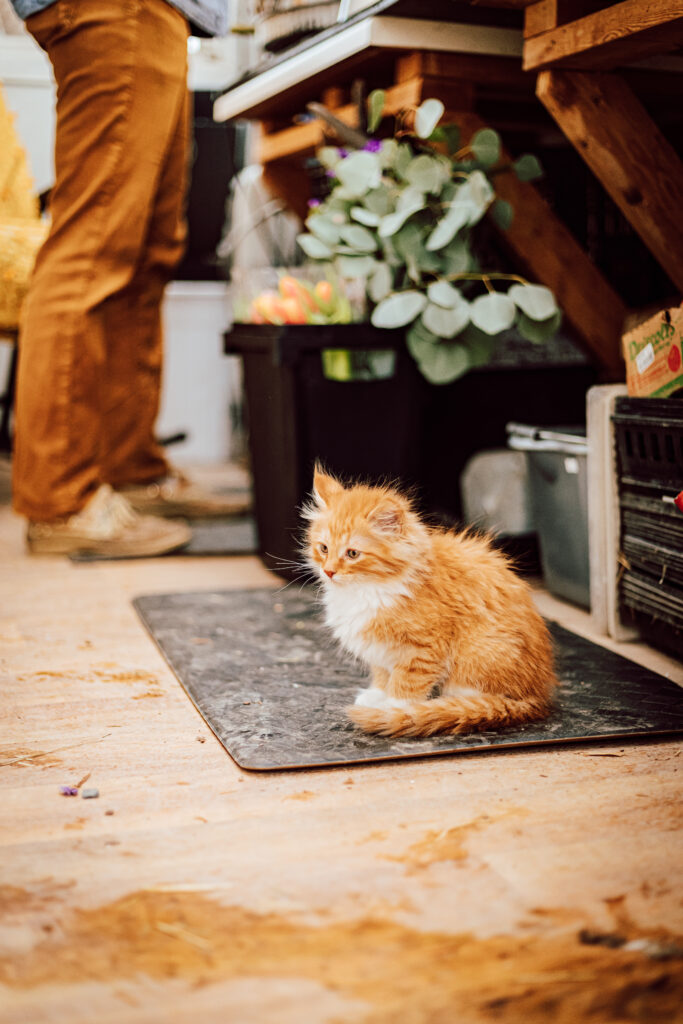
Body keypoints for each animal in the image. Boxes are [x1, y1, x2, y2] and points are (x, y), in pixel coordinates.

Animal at [307, 464, 557, 737]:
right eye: (323, 549)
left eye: (352, 553)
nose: (329, 571)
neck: (366, 590)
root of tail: (537, 698)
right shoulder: (380, 649)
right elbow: (383, 674)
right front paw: (378, 695)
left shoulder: (424, 649)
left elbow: (406, 684)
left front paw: (394, 709)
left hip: (479, 653)